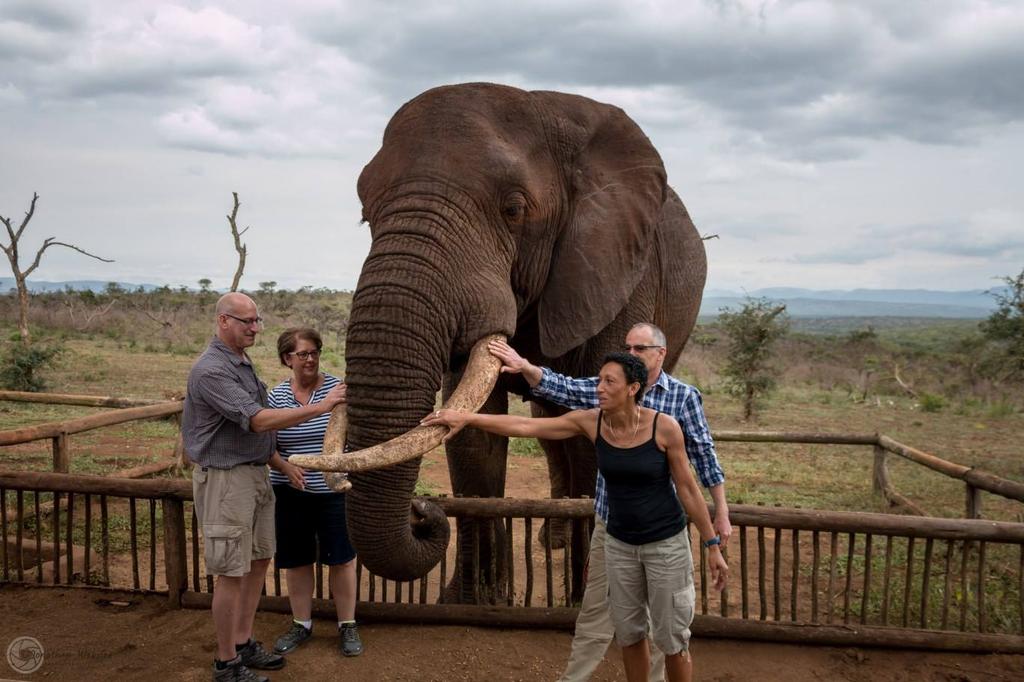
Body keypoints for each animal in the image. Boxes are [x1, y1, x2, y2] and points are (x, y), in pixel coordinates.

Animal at [291, 82, 708, 603]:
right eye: (366, 214)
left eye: (514, 209)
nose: (423, 511)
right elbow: (473, 441)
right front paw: (470, 602)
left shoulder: (624, 270)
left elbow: (599, 438)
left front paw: (587, 602)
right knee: (550, 429)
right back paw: (550, 540)